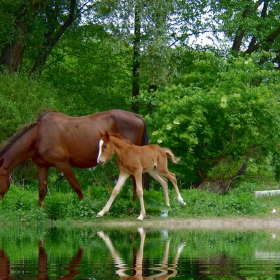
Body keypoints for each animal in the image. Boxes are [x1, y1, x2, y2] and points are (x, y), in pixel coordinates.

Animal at [0, 109, 149, 206]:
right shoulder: (42, 165)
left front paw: (84, 205)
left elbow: (76, 186)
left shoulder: (63, 164)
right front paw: (40, 210)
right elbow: (42, 190)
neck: (39, 135)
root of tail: (136, 116)